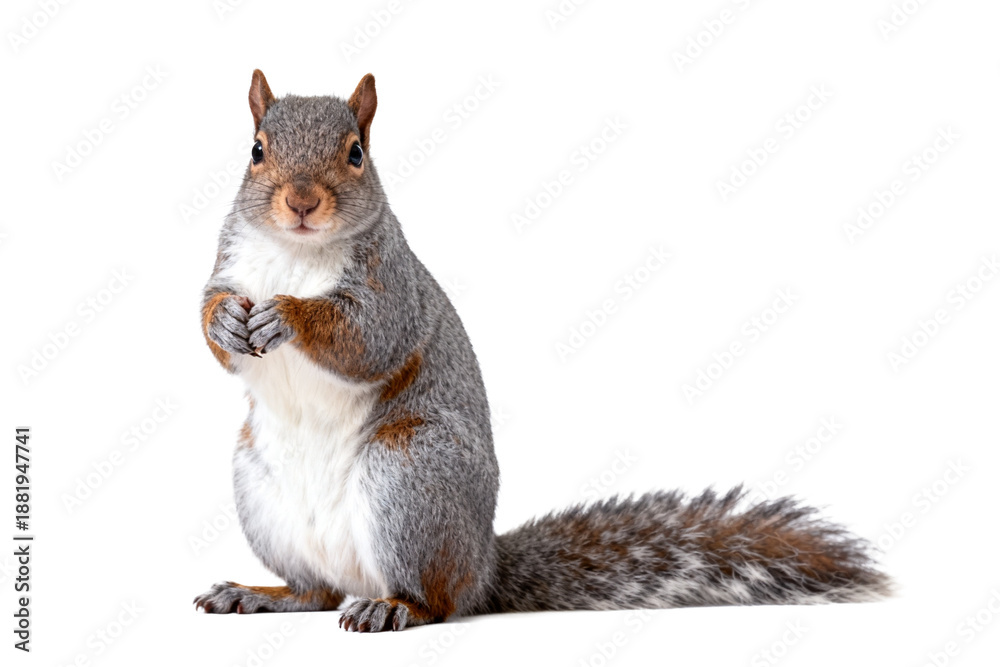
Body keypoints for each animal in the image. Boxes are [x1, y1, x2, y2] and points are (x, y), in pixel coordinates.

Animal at [194, 70, 891, 632]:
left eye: (357, 153)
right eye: (256, 150)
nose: (302, 202)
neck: (297, 252)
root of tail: (483, 566)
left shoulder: (391, 290)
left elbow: (365, 340)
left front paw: (287, 315)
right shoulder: (230, 264)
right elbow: (212, 326)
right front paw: (226, 321)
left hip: (410, 475)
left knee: (434, 601)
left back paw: (395, 607)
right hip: (261, 491)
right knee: (315, 592)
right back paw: (260, 594)